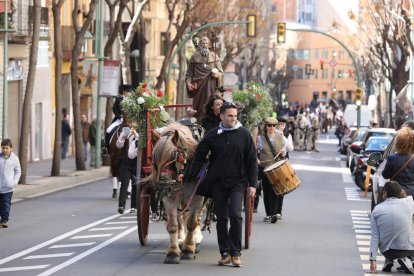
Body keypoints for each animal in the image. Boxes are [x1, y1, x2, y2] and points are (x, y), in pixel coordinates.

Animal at [150, 122, 206, 264]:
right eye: (154, 157)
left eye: (173, 155)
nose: (163, 184)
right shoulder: (170, 196)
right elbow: (173, 225)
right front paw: (173, 252)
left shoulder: (197, 196)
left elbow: (192, 223)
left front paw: (189, 249)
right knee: (181, 218)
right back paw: (181, 240)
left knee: (195, 218)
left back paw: (195, 240)